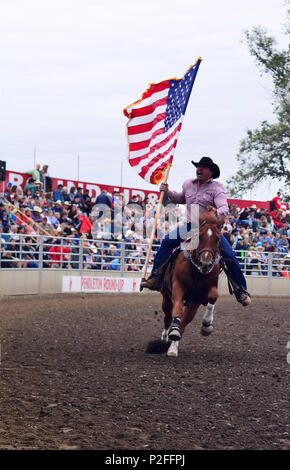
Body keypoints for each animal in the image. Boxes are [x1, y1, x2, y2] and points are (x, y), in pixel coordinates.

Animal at [159, 207, 224, 358]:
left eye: (218, 239)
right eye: (199, 237)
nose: (205, 263)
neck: (197, 272)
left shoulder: (200, 296)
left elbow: (213, 297)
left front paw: (206, 325)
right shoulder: (178, 287)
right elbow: (177, 310)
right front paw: (173, 332)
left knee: (184, 320)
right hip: (166, 296)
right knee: (168, 314)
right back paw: (166, 335)